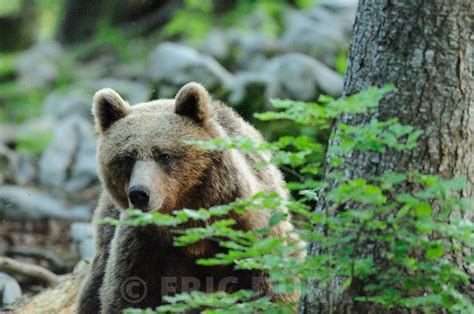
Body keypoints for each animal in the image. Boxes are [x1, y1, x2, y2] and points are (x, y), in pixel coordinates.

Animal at [76, 82, 302, 312]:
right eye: (127, 158)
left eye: (164, 155)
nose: (139, 194)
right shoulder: (144, 248)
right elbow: (129, 295)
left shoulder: (248, 232)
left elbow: (271, 287)